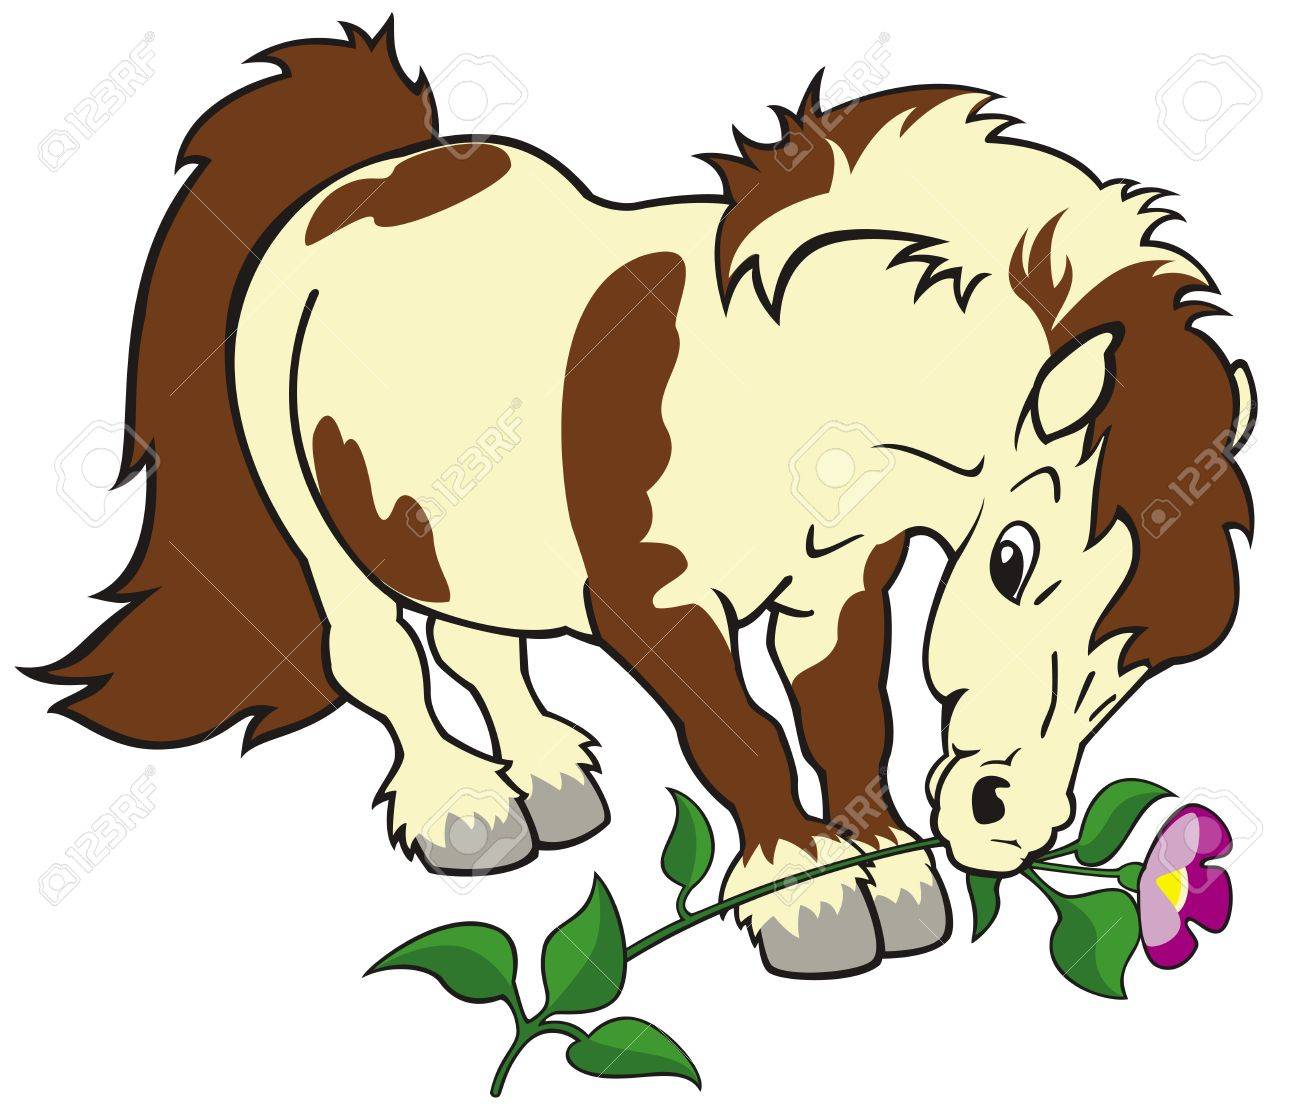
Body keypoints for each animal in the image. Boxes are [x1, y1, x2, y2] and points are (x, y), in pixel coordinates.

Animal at [27, 21, 1254, 979]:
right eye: (1010, 559)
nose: (1005, 824)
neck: (786, 387)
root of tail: (369, 173)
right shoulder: (651, 605)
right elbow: (739, 732)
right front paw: (802, 895)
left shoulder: (835, 592)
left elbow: (847, 718)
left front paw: (892, 873)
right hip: (313, 514)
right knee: (378, 655)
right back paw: (464, 810)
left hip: (463, 531)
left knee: (479, 643)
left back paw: (549, 777)